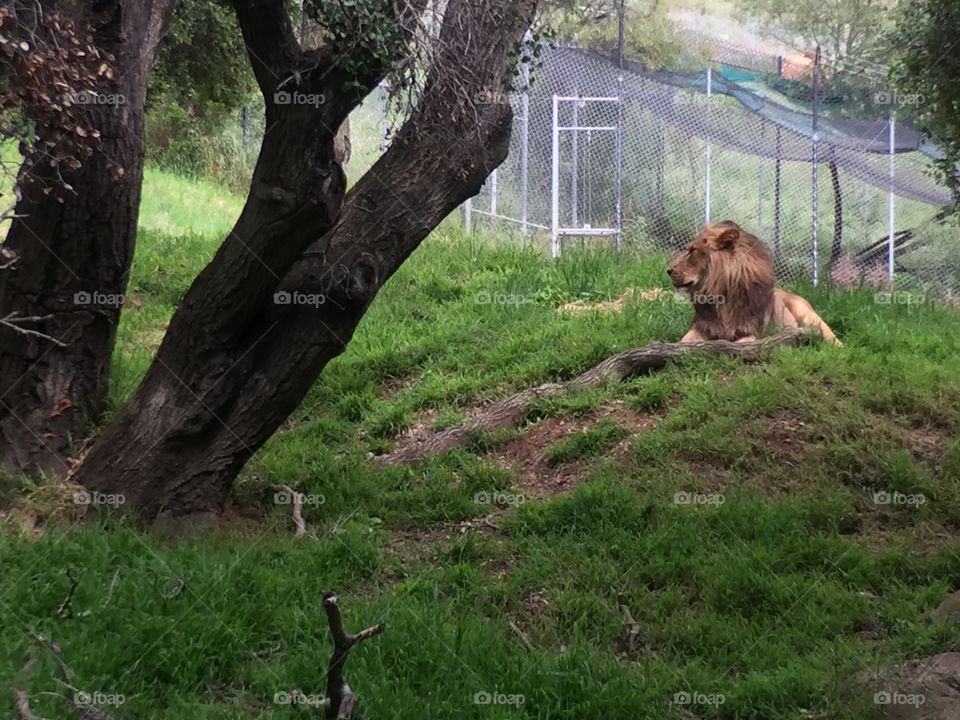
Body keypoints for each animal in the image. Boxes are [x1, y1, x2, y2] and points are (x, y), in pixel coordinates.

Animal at [668, 221, 840, 348]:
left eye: (692, 251)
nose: (668, 270)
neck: (722, 294)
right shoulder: (703, 327)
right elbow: (683, 341)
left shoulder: (751, 333)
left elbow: (738, 345)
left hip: (808, 315)